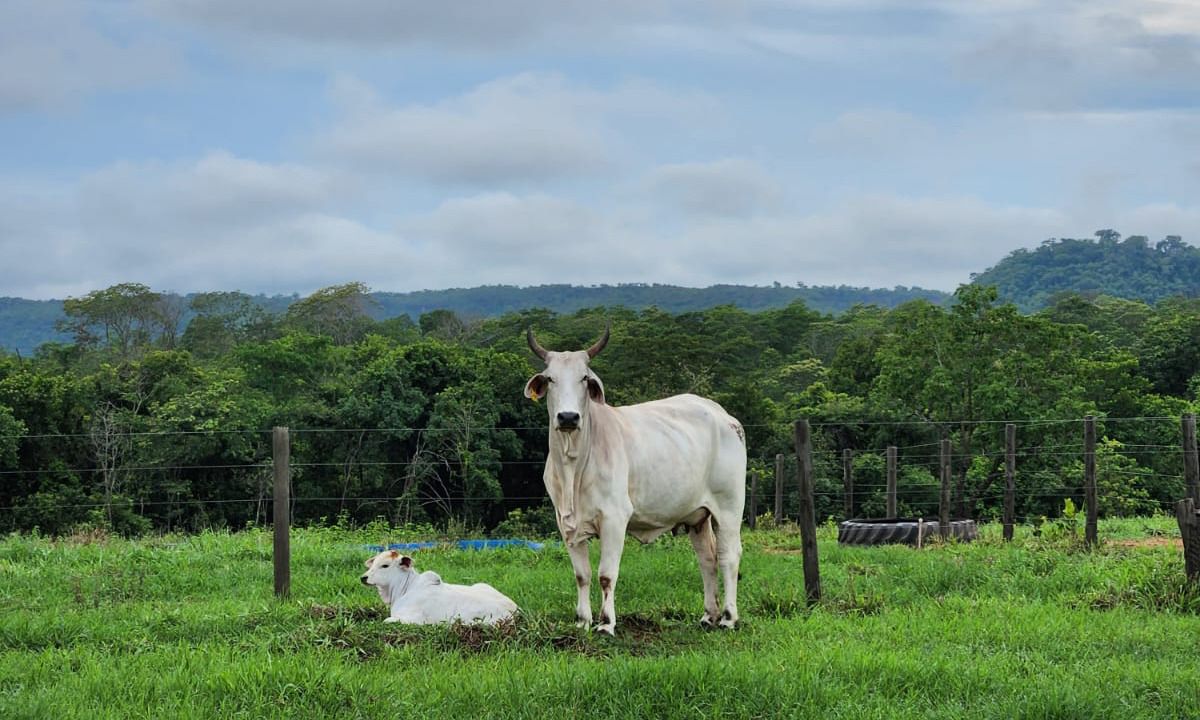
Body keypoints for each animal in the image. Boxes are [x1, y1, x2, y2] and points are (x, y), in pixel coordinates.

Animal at [360, 552, 520, 624]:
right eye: (374, 563)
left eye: (385, 565)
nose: (363, 577)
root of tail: (514, 608)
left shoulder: (414, 620)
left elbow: (386, 620)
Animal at [528, 328, 748, 633]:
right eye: (550, 378)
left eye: (584, 377)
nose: (568, 417)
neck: (573, 464)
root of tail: (724, 416)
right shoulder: (566, 523)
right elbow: (582, 575)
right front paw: (582, 622)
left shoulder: (615, 517)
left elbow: (606, 574)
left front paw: (606, 623)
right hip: (698, 516)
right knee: (707, 560)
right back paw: (708, 616)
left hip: (729, 508)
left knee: (729, 557)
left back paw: (728, 617)